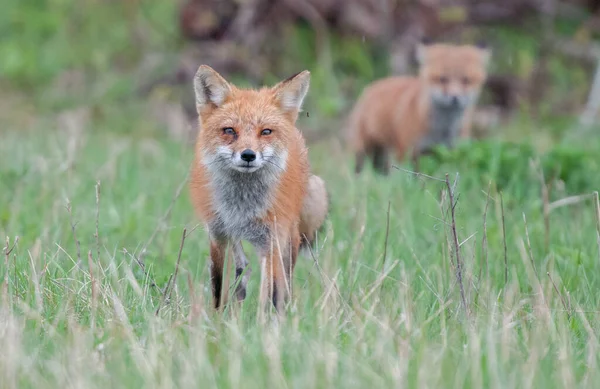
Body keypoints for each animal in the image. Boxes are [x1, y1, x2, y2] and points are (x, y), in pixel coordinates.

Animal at [189, 64, 328, 312]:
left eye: (265, 132)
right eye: (229, 131)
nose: (248, 155)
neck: (241, 206)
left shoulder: (271, 239)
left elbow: (271, 293)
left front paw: (267, 322)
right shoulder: (218, 234)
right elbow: (218, 286)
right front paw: (217, 320)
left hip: (290, 234)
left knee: (284, 277)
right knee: (243, 267)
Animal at [350, 41, 490, 174]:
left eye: (466, 80)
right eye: (442, 79)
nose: (454, 97)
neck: (441, 130)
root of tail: (371, 86)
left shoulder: (452, 151)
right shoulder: (408, 150)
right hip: (364, 149)